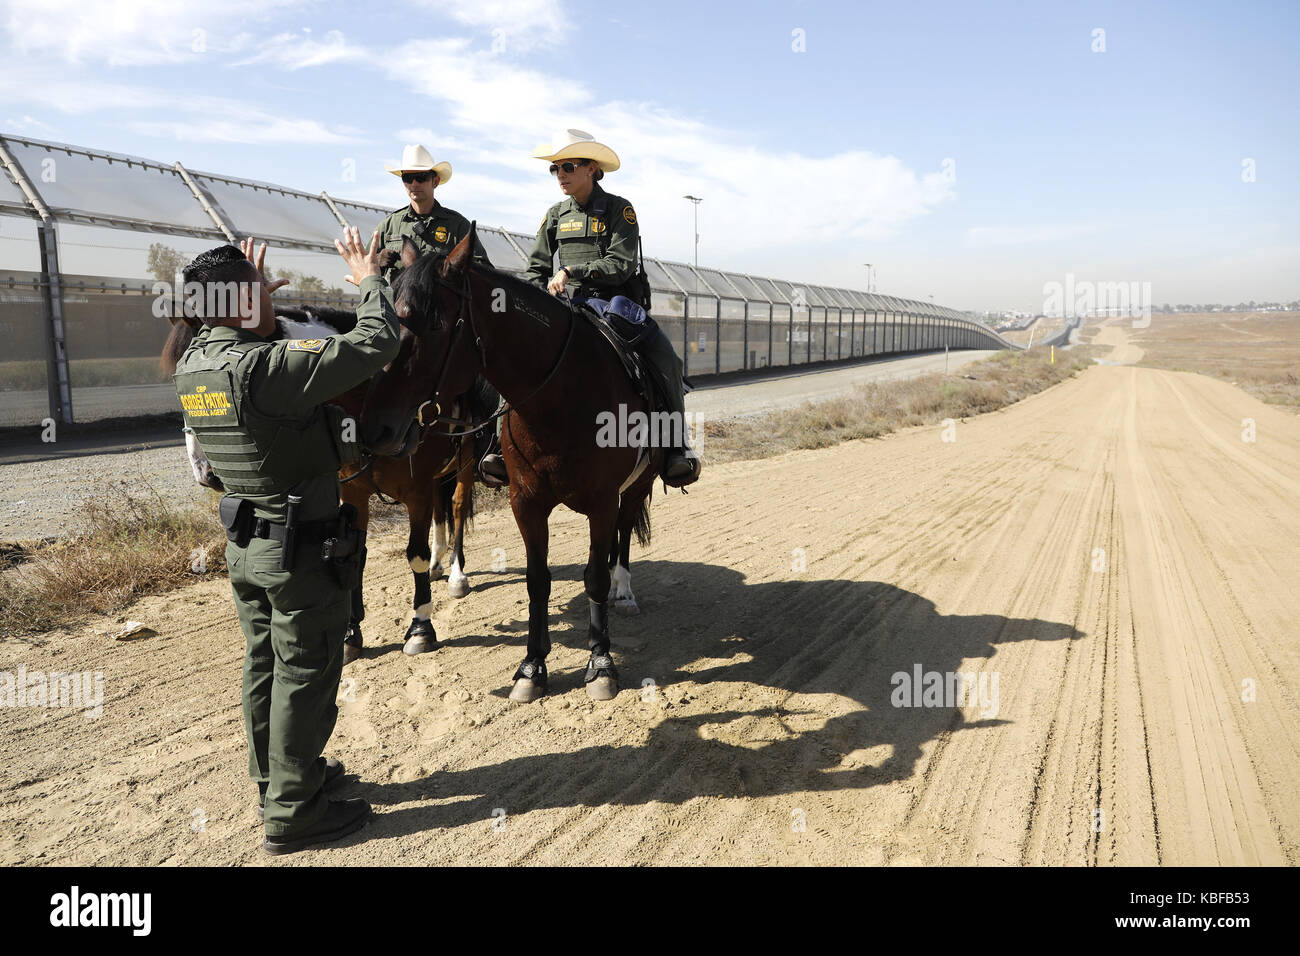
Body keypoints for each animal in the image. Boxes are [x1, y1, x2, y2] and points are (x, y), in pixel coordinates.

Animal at [159, 303, 478, 660]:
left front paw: (421, 626)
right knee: (441, 511)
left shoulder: (417, 491)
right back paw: (439, 564)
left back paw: (457, 574)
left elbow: (415, 554)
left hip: (465, 460)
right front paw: (351, 634)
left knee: (457, 506)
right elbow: (356, 554)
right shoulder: (355, 492)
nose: (207, 472)